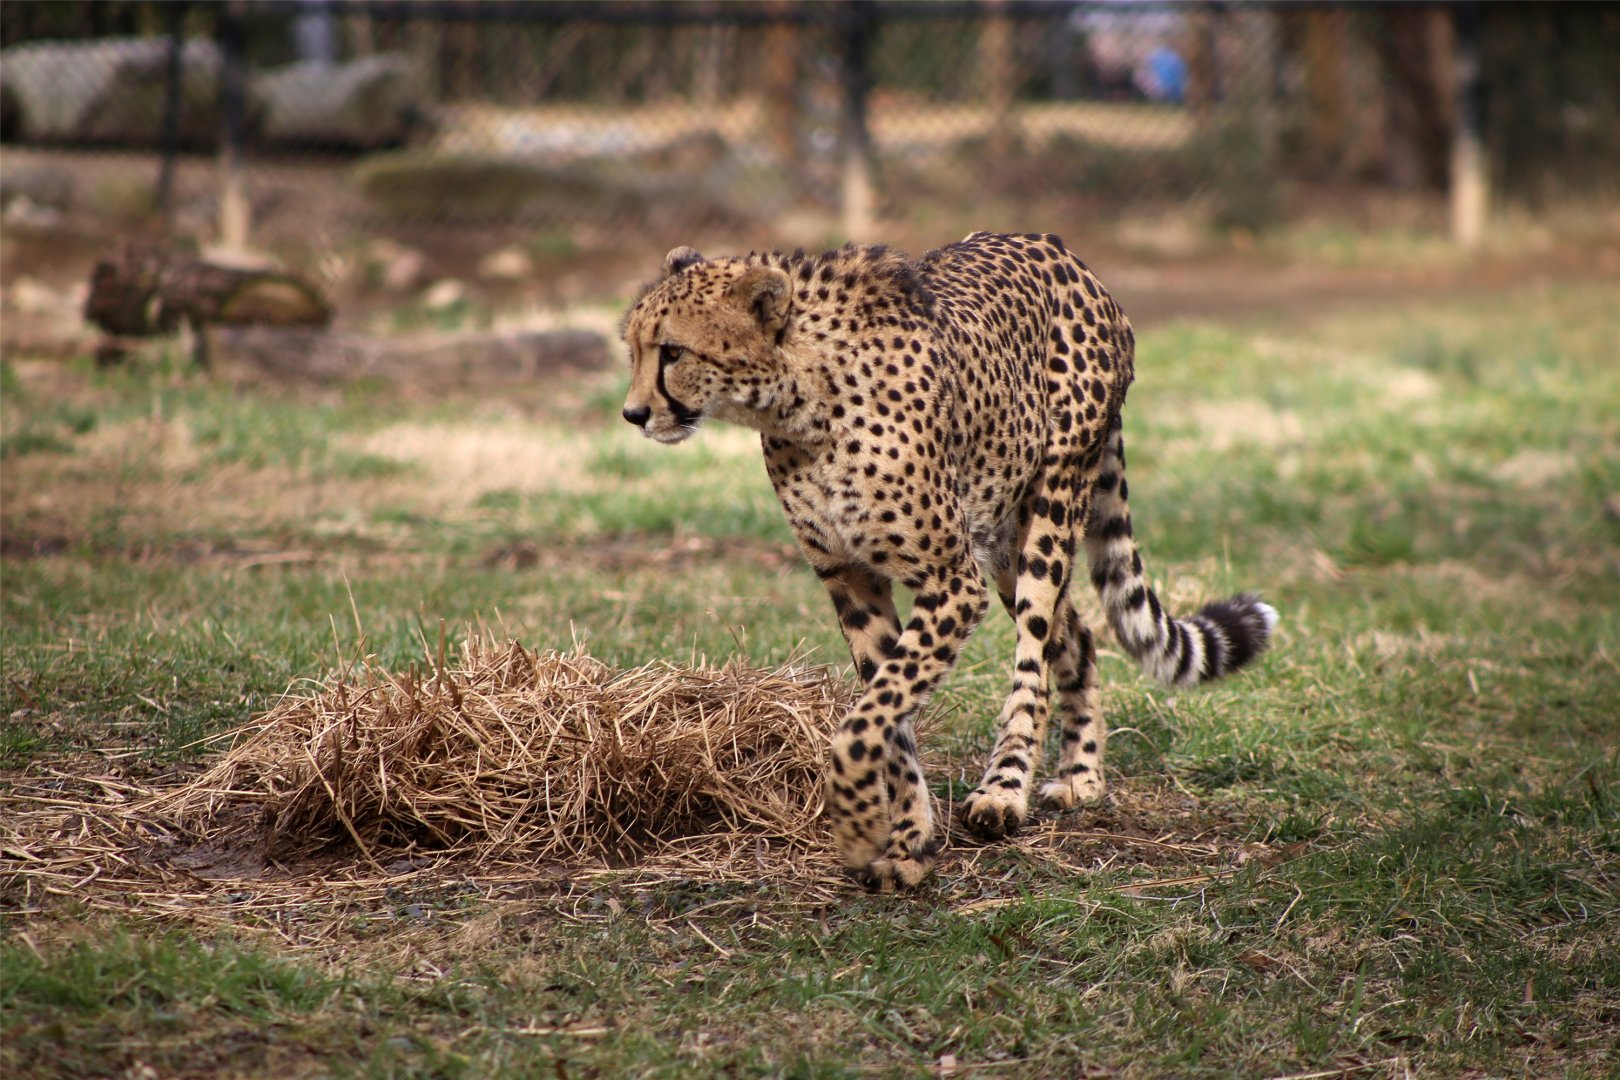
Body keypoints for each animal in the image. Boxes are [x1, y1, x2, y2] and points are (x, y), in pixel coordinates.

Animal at [619, 231, 1277, 890]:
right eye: (633, 349)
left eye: (672, 350)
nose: (633, 414)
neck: (801, 401)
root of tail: (1061, 251)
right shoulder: (850, 579)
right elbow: (889, 716)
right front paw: (908, 838)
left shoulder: (952, 580)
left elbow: (867, 717)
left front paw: (857, 823)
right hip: (1003, 539)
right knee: (1078, 635)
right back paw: (1082, 775)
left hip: (1051, 508)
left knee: (1035, 659)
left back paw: (1005, 790)